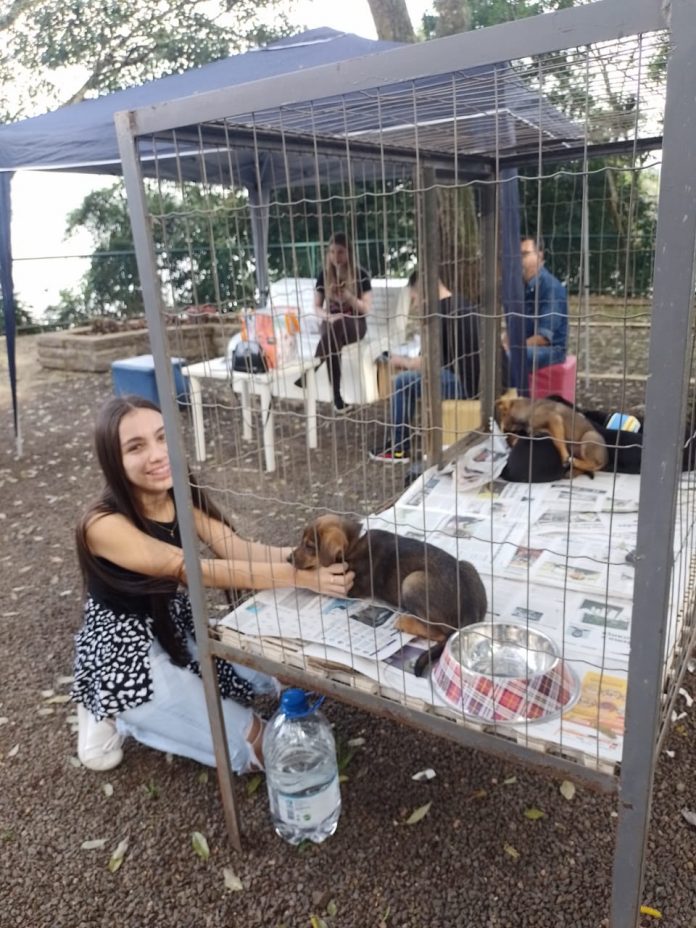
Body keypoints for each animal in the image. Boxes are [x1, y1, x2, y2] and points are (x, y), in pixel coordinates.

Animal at [289, 514, 487, 676]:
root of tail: (469, 615)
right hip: (468, 566)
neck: (354, 543)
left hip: (411, 582)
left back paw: (405, 622)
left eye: (309, 546)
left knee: (440, 633)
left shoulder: (349, 589)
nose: (287, 559)